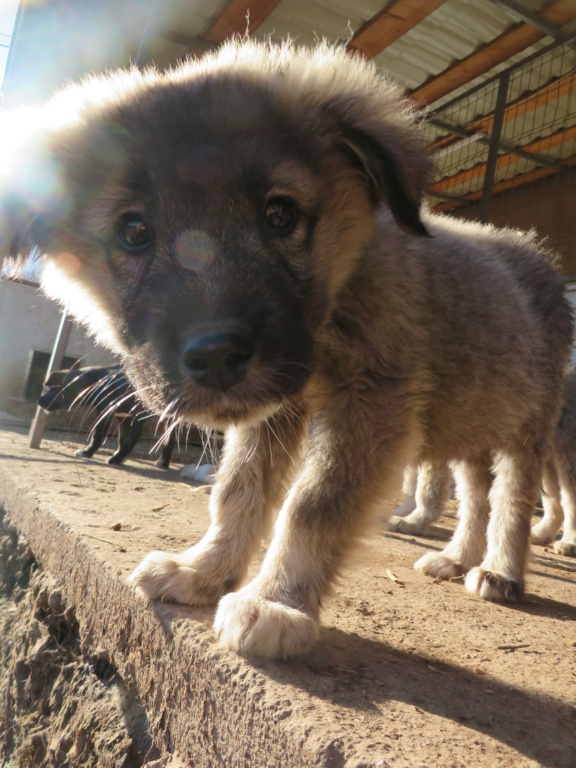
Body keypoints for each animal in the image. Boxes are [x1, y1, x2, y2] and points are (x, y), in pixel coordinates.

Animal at [38, 366, 174, 468]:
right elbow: (121, 439)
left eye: (52, 388)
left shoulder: (106, 412)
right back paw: (162, 462)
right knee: (168, 440)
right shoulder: (123, 417)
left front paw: (86, 452)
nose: (38, 400)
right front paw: (122, 456)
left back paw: (114, 459)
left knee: (136, 436)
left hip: (140, 414)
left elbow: (98, 434)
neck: (93, 383)